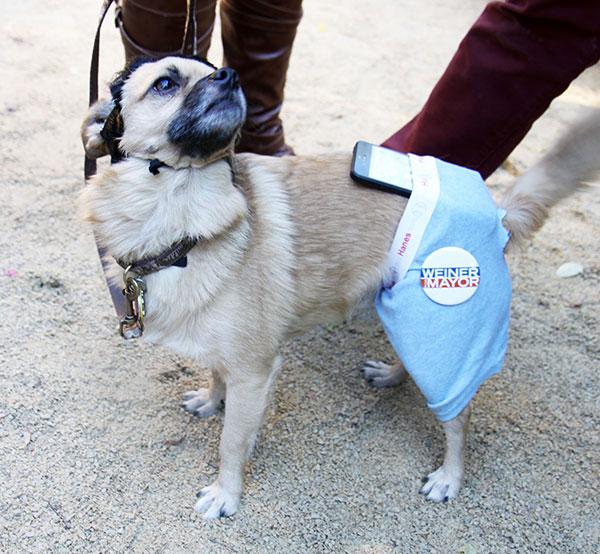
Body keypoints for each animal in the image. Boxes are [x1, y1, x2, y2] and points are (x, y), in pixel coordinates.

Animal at [81, 56, 596, 516]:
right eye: (166, 84)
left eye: (211, 68)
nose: (230, 75)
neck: (182, 217)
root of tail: (498, 216)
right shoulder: (226, 354)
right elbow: (215, 377)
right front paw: (210, 401)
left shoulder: (254, 372)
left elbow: (232, 442)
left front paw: (227, 495)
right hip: (405, 317)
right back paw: (391, 376)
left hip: (444, 337)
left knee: (459, 418)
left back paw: (449, 477)